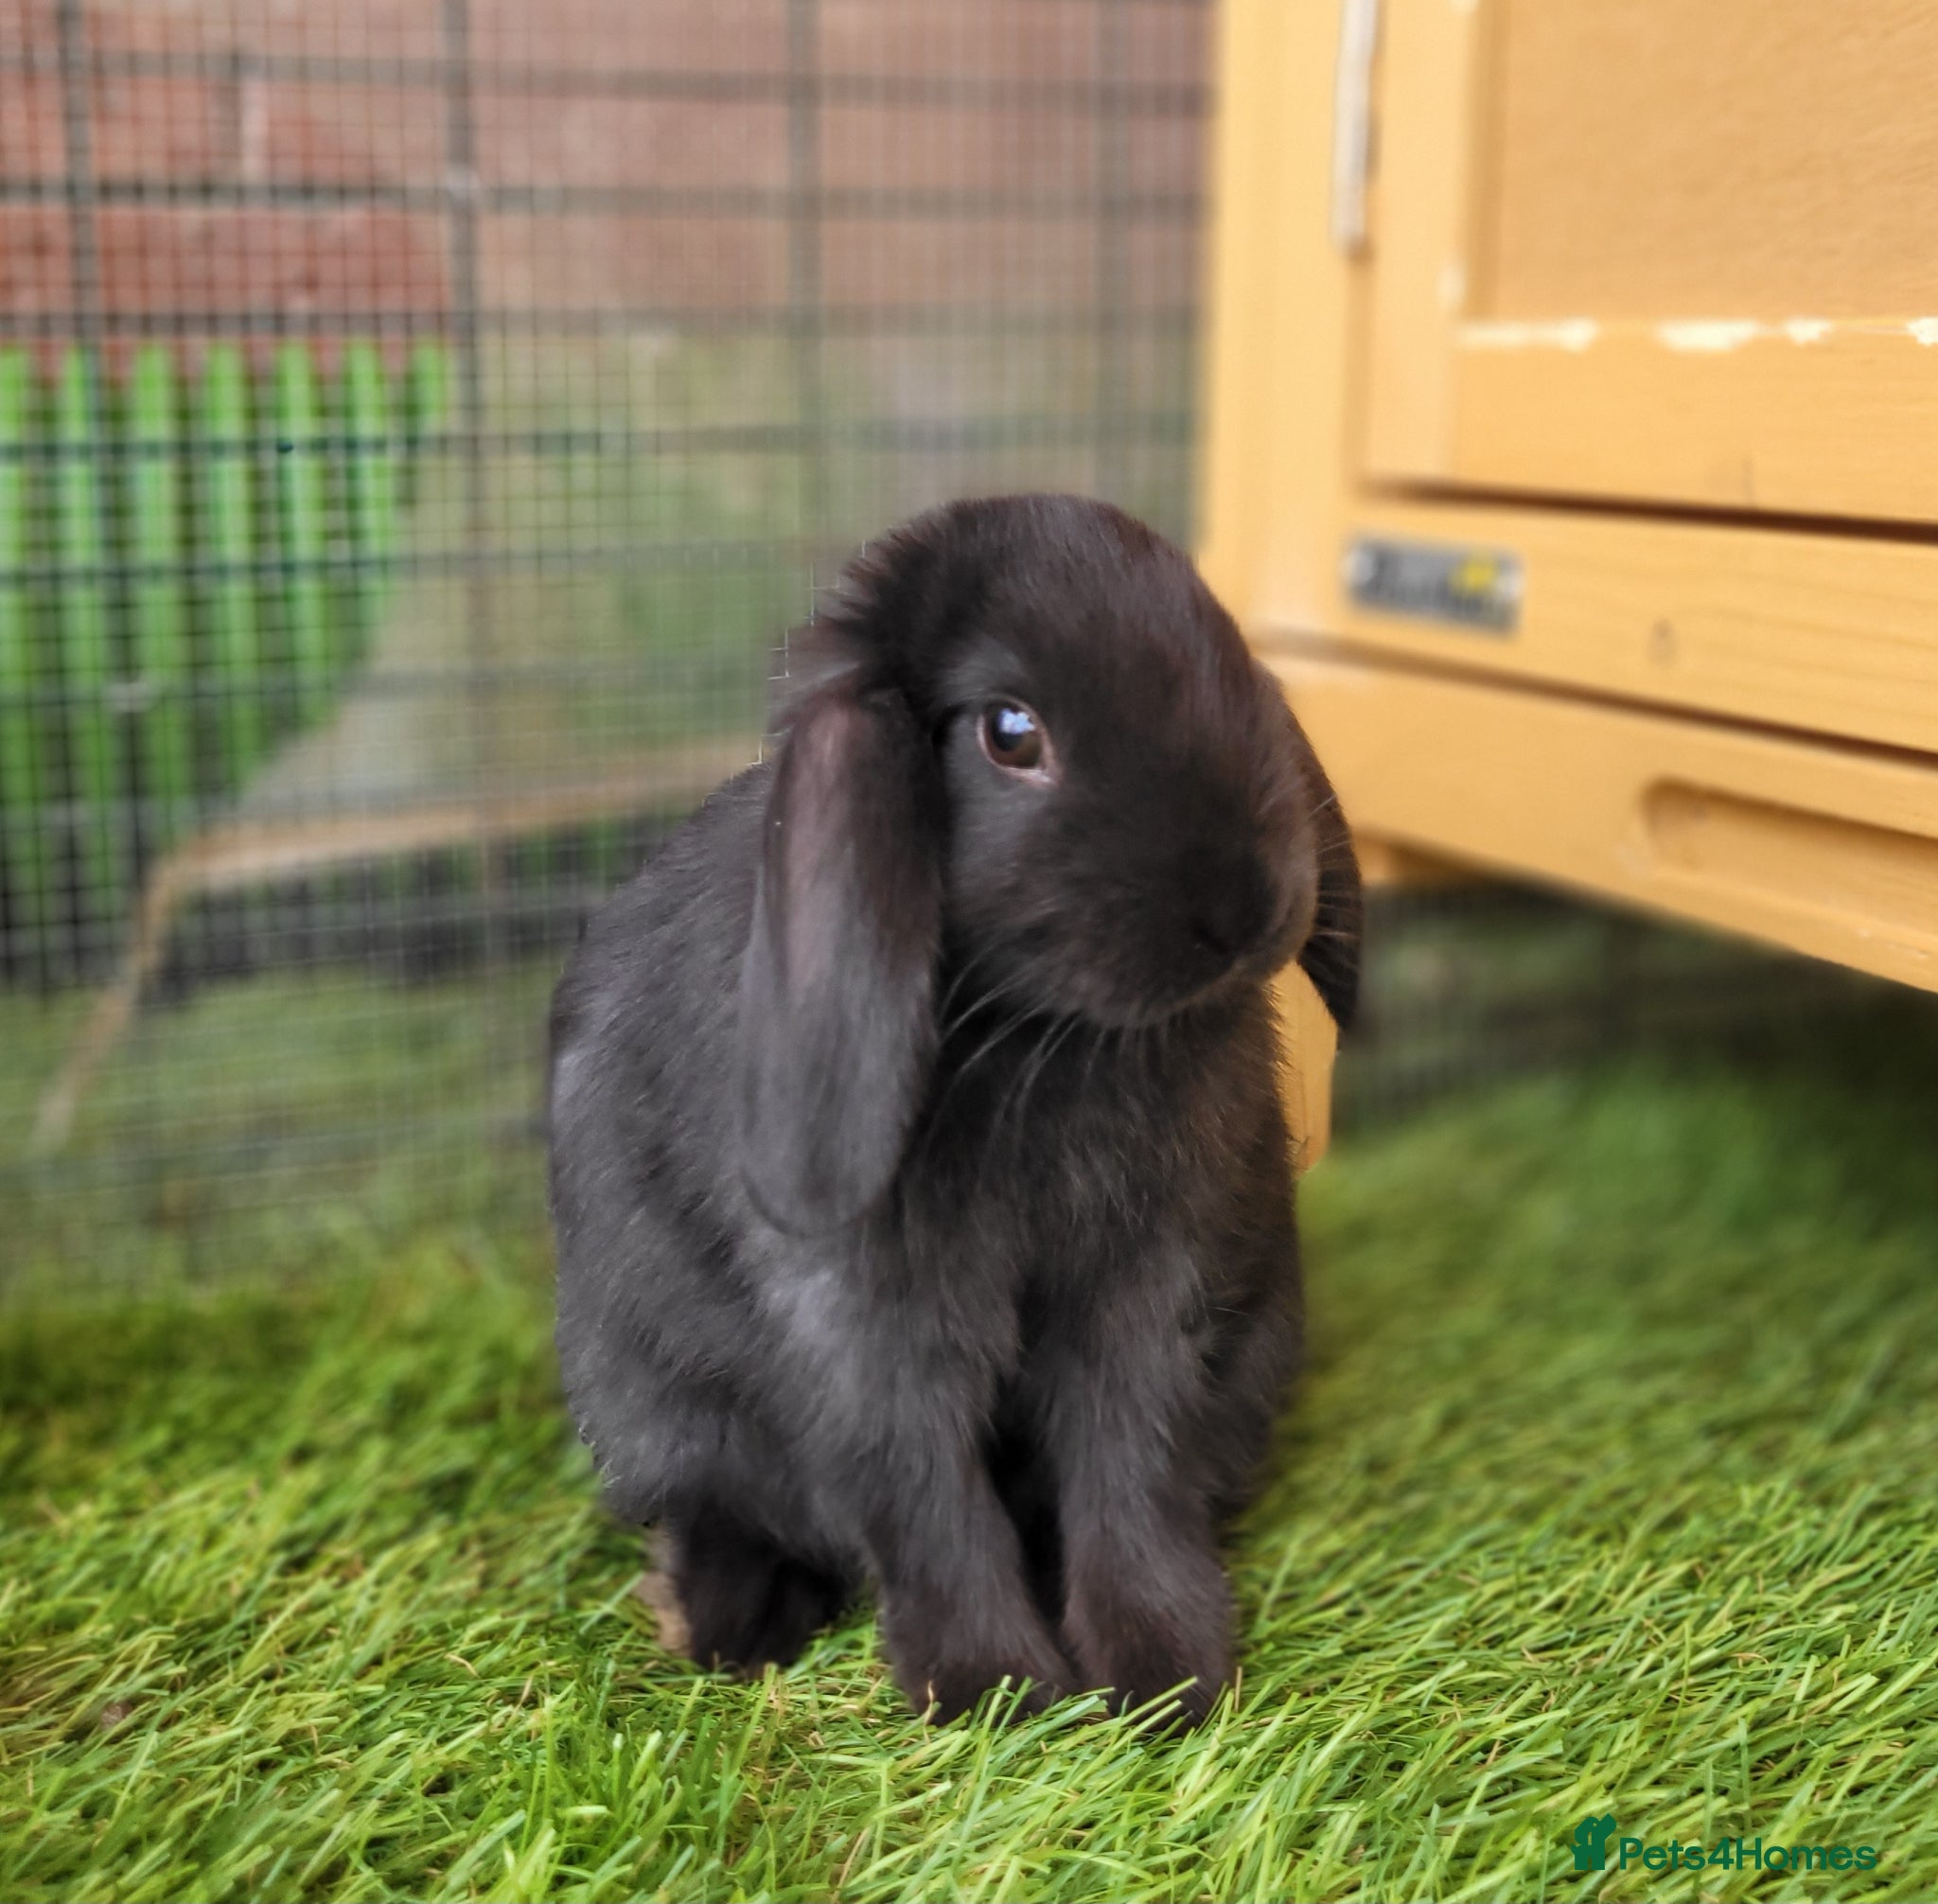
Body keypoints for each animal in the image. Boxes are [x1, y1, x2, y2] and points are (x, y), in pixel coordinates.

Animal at [548, 493, 1361, 1726]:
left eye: (1225, 652)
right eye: (1010, 732)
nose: (1245, 907)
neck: (1041, 1034)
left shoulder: (1151, 1286)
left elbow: (1131, 1462)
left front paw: (1165, 1675)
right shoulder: (872, 1320)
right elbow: (923, 1485)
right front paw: (994, 1690)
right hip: (648, 1391)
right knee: (720, 1504)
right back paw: (728, 1624)